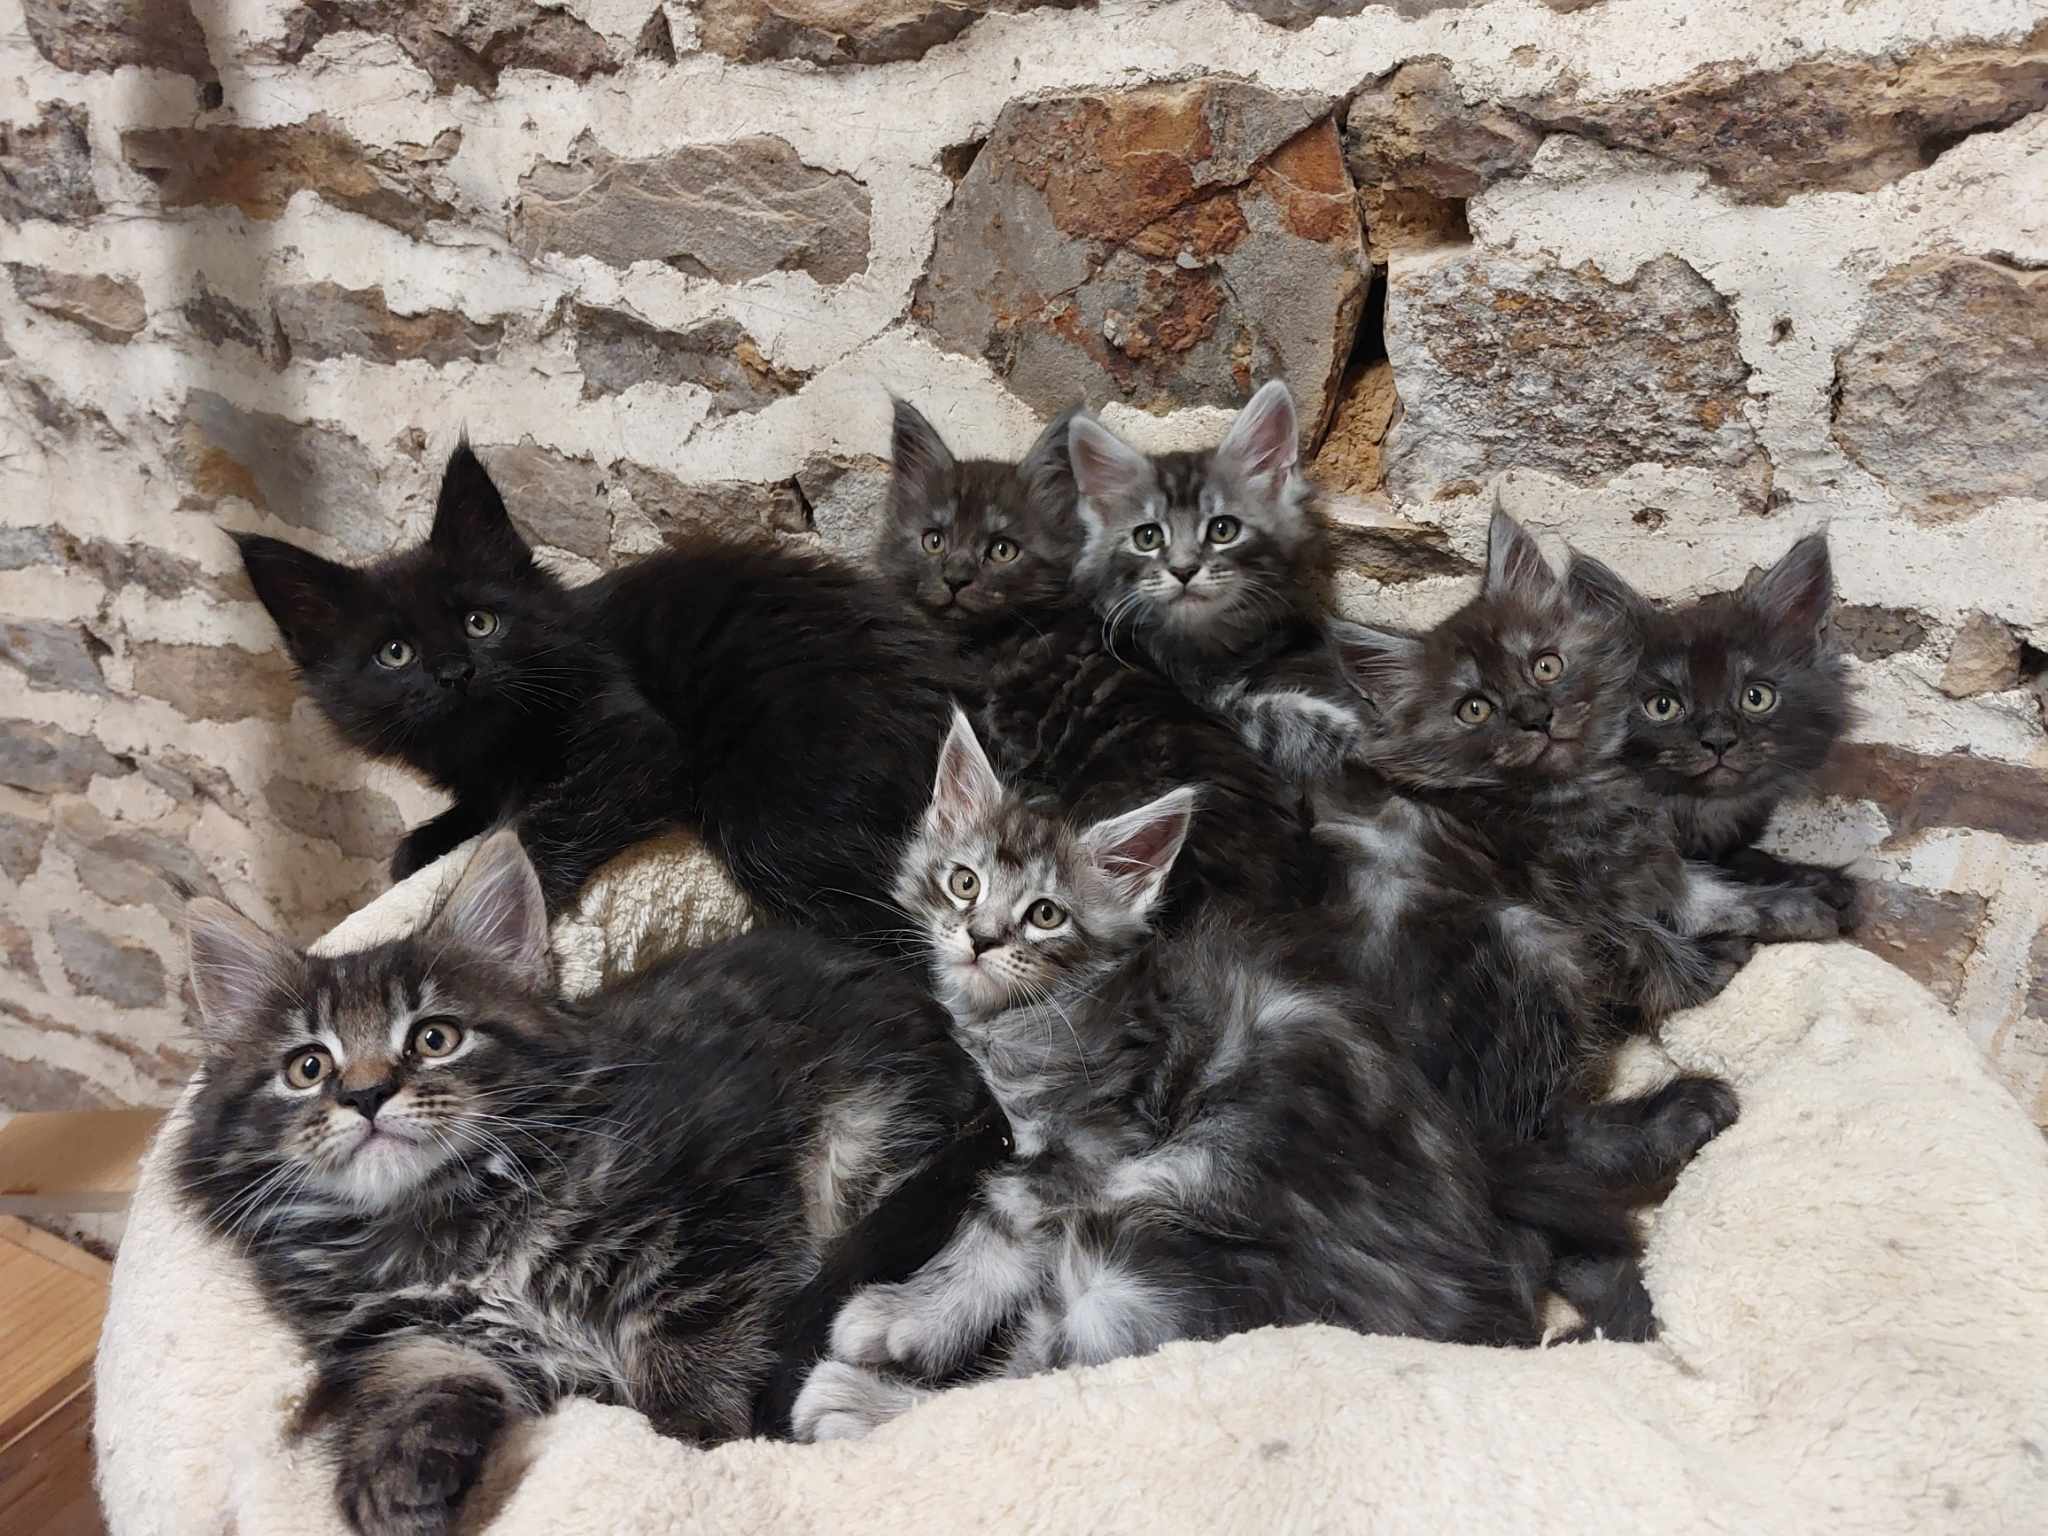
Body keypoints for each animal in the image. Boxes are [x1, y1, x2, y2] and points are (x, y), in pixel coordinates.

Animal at [167, 835, 983, 1531]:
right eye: (308, 1067)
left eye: (435, 1038)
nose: (366, 1095)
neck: (444, 1217)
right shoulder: (417, 1328)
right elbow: (420, 1376)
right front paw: (387, 1474)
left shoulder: (718, 1215)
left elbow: (696, 1342)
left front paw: (690, 1440)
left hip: (867, 1136)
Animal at [237, 442, 958, 950]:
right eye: (394, 654)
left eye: (480, 623)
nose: (454, 673)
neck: (495, 746)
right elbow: (485, 810)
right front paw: (425, 843)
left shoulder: (632, 736)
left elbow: (535, 825)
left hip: (782, 801)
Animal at [790, 708, 1540, 1441]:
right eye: (964, 882)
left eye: (1045, 914)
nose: (980, 939)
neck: (1043, 1008)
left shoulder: (1095, 1144)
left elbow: (995, 1226)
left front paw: (905, 1317)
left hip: (1145, 1245)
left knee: (1038, 1380)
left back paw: (856, 1403)